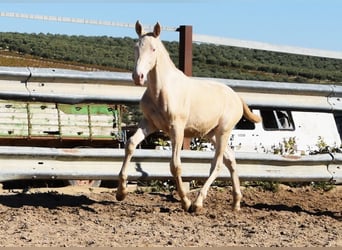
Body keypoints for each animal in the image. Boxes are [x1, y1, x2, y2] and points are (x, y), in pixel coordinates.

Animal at [115, 21, 262, 212]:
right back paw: (236, 203)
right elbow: (131, 145)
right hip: (212, 134)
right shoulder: (149, 123)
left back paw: (197, 203)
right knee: (230, 160)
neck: (161, 90)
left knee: (217, 164)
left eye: (153, 49)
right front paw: (121, 193)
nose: (137, 77)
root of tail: (237, 97)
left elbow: (175, 165)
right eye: (136, 47)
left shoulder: (176, 128)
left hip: (224, 131)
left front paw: (185, 202)